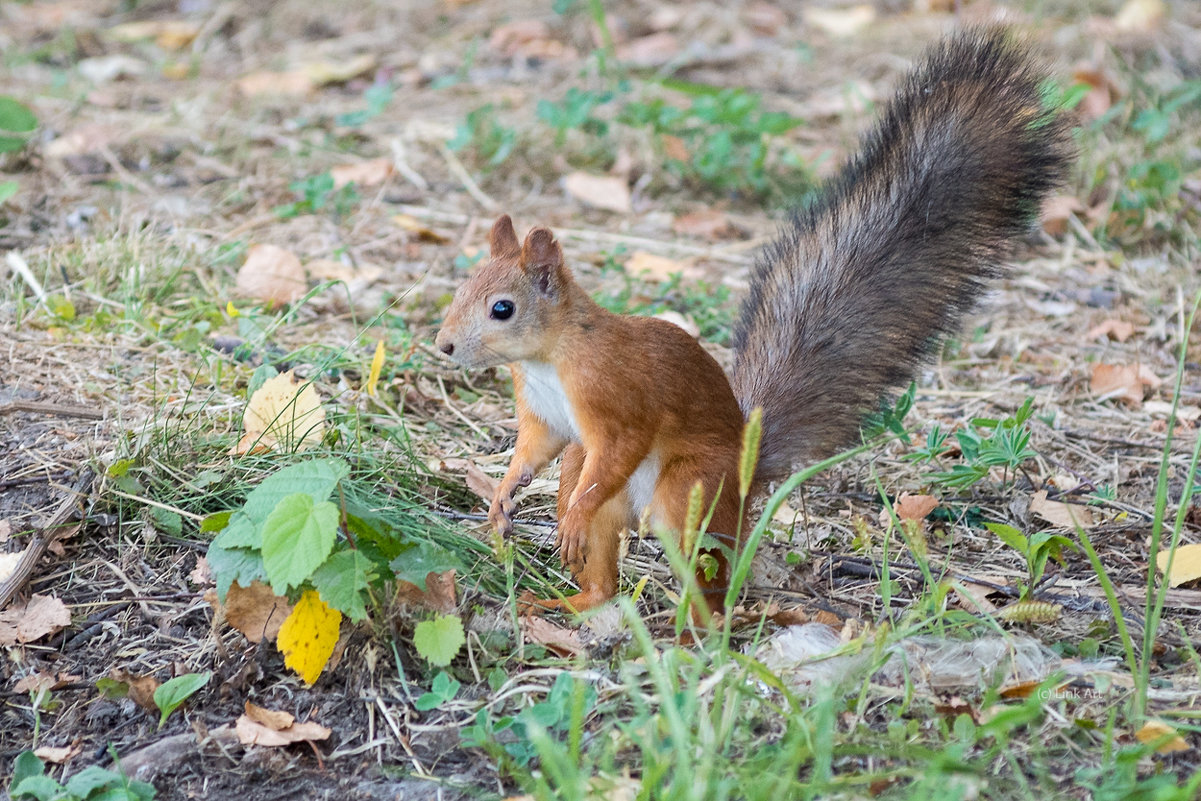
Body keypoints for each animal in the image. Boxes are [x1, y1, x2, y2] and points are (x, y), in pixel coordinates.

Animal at [437, 29, 1076, 619]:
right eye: (461, 288)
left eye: (501, 308)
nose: (443, 345)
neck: (549, 357)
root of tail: (745, 465)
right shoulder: (543, 412)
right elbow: (536, 448)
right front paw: (502, 495)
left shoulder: (614, 395)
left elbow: (617, 448)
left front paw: (564, 518)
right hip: (613, 491)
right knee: (600, 551)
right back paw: (572, 599)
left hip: (689, 489)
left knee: (694, 560)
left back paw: (695, 629)